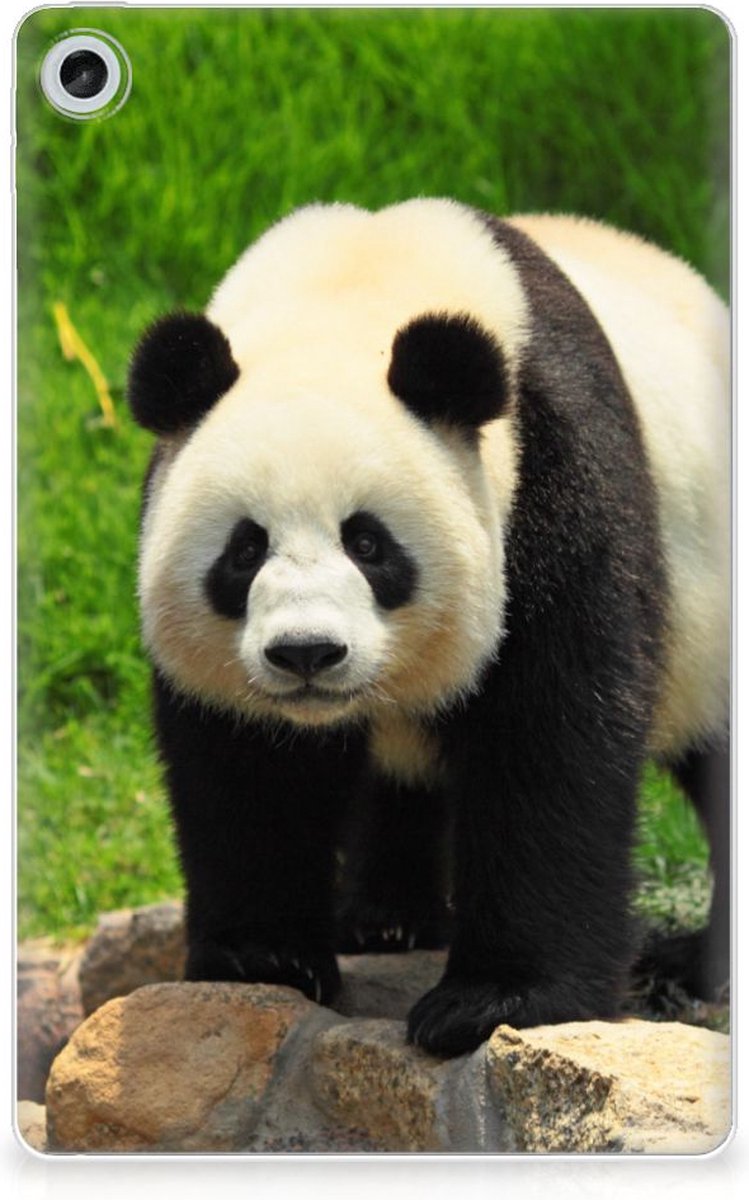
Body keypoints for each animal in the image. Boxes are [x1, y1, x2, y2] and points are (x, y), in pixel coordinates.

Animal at [127, 199, 730, 1057]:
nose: (306, 653)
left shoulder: (554, 476)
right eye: (244, 549)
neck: (351, 288)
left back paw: (690, 963)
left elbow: (549, 736)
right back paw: (385, 920)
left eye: (368, 543)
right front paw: (261, 958)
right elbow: (248, 764)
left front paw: (494, 1001)